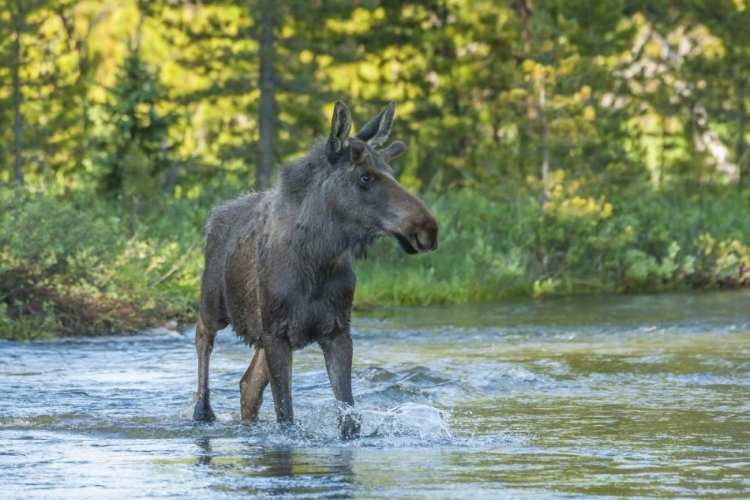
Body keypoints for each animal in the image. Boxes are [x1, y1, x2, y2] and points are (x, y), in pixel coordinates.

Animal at [192, 100, 440, 438]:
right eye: (365, 177)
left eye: (392, 172)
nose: (428, 229)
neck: (318, 263)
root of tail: (216, 214)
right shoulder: (277, 333)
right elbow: (286, 416)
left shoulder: (336, 331)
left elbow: (349, 417)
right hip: (213, 304)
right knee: (202, 338)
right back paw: (202, 410)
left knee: (248, 384)